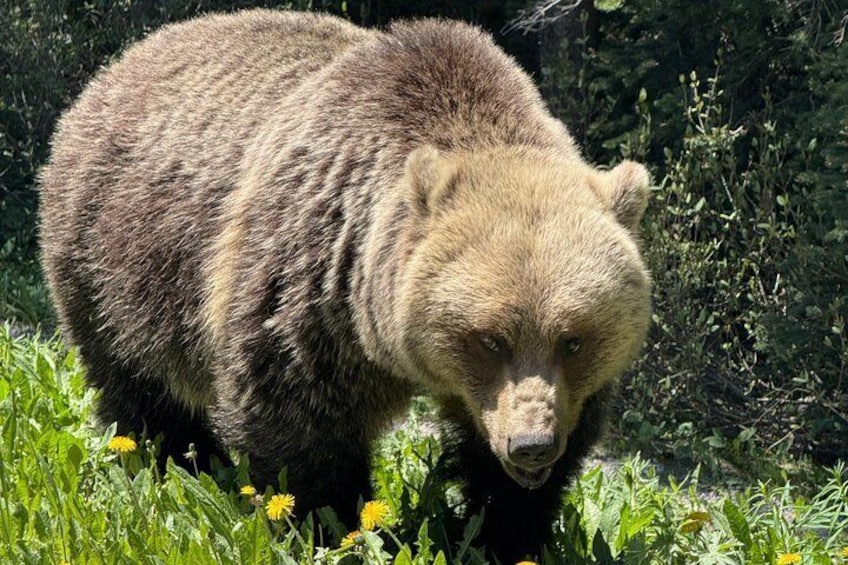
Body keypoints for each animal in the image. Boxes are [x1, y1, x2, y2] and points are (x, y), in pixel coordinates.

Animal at [39, 9, 651, 561]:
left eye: (573, 339)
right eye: (489, 338)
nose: (530, 445)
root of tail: (120, 65)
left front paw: (508, 531)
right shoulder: (314, 283)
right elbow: (298, 421)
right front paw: (331, 525)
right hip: (117, 262)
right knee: (139, 388)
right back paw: (174, 463)